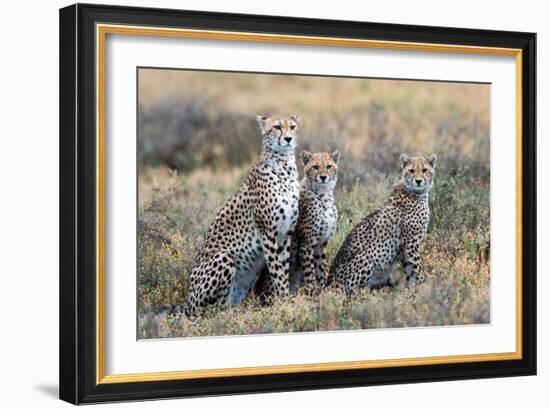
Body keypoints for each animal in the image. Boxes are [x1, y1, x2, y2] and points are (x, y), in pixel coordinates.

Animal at [184, 114, 302, 312]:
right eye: (277, 127)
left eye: (292, 127)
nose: (288, 139)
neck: (284, 165)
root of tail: (187, 300)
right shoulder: (267, 232)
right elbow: (277, 270)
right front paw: (285, 301)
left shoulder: (286, 233)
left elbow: (283, 269)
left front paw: (285, 297)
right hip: (224, 258)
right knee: (209, 309)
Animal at [288, 150, 340, 294]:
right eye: (315, 167)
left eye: (328, 166)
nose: (323, 177)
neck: (324, 196)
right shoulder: (307, 243)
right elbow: (310, 273)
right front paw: (312, 292)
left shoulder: (321, 243)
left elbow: (320, 268)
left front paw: (322, 290)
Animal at [328, 152, 440, 290]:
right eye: (411, 171)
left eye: (425, 170)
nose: (418, 181)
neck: (415, 193)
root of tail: (328, 284)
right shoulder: (410, 243)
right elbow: (417, 268)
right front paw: (426, 287)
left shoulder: (405, 249)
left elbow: (410, 271)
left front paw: (412, 290)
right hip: (366, 257)